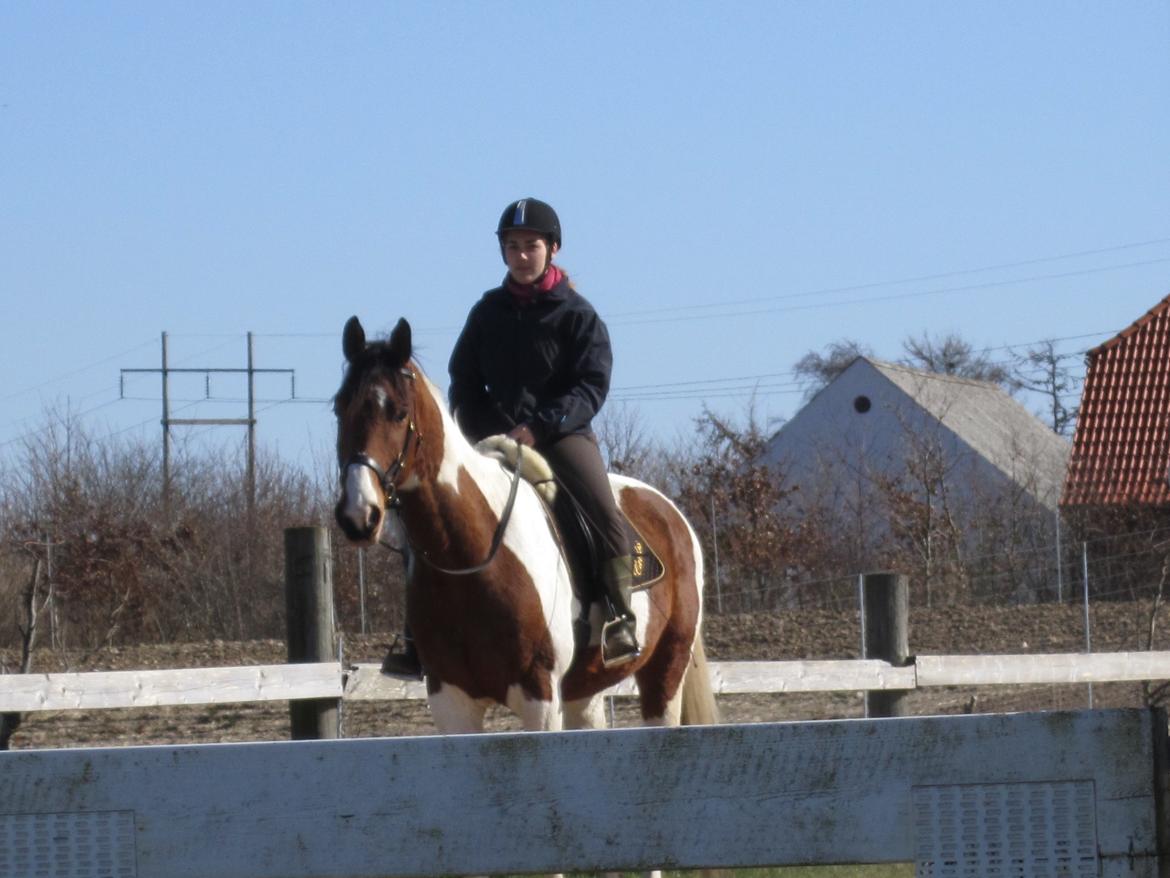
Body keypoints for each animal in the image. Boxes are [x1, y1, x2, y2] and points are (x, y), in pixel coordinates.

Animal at [329, 316, 711, 735]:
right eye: (339, 409)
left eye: (398, 413)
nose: (358, 514)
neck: (472, 557)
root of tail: (671, 514)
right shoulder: (451, 700)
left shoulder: (539, 697)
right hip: (585, 691)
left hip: (665, 671)